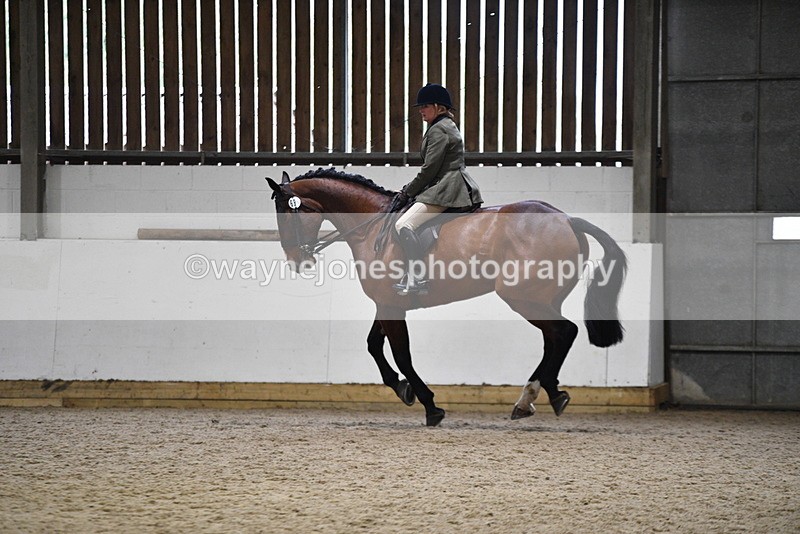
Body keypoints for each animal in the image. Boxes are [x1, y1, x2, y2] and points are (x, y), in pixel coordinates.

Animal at [266, 168, 627, 427]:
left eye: (286, 213)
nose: (297, 260)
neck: (371, 227)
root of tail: (565, 218)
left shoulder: (390, 306)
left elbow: (402, 356)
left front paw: (430, 406)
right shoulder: (388, 303)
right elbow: (373, 346)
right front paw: (403, 389)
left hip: (522, 297)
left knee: (564, 332)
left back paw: (546, 395)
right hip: (543, 298)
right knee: (553, 339)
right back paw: (533, 397)